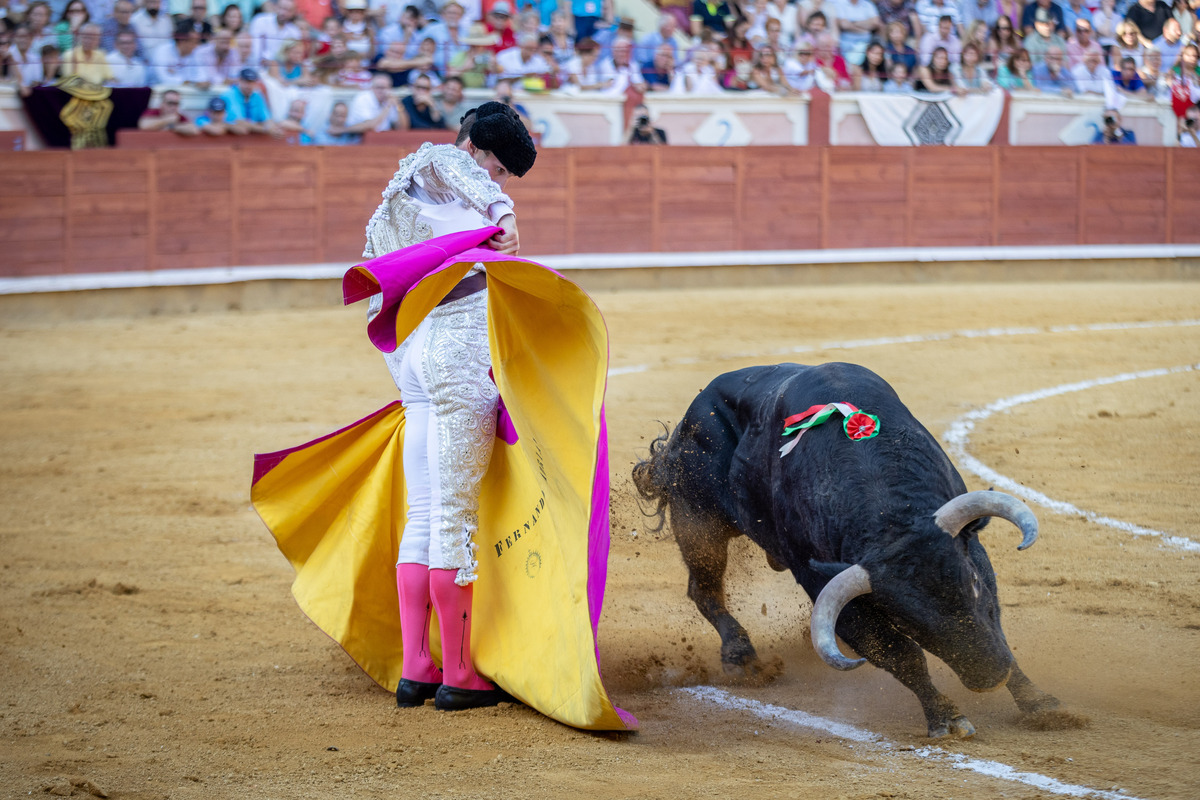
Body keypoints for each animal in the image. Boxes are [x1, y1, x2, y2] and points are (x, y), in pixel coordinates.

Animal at [628, 362, 1060, 738]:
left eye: (971, 583)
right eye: (903, 619)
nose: (990, 676)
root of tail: (686, 425)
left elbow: (996, 627)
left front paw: (1039, 703)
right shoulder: (828, 589)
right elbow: (900, 655)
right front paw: (947, 718)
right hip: (698, 518)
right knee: (704, 590)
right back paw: (742, 657)